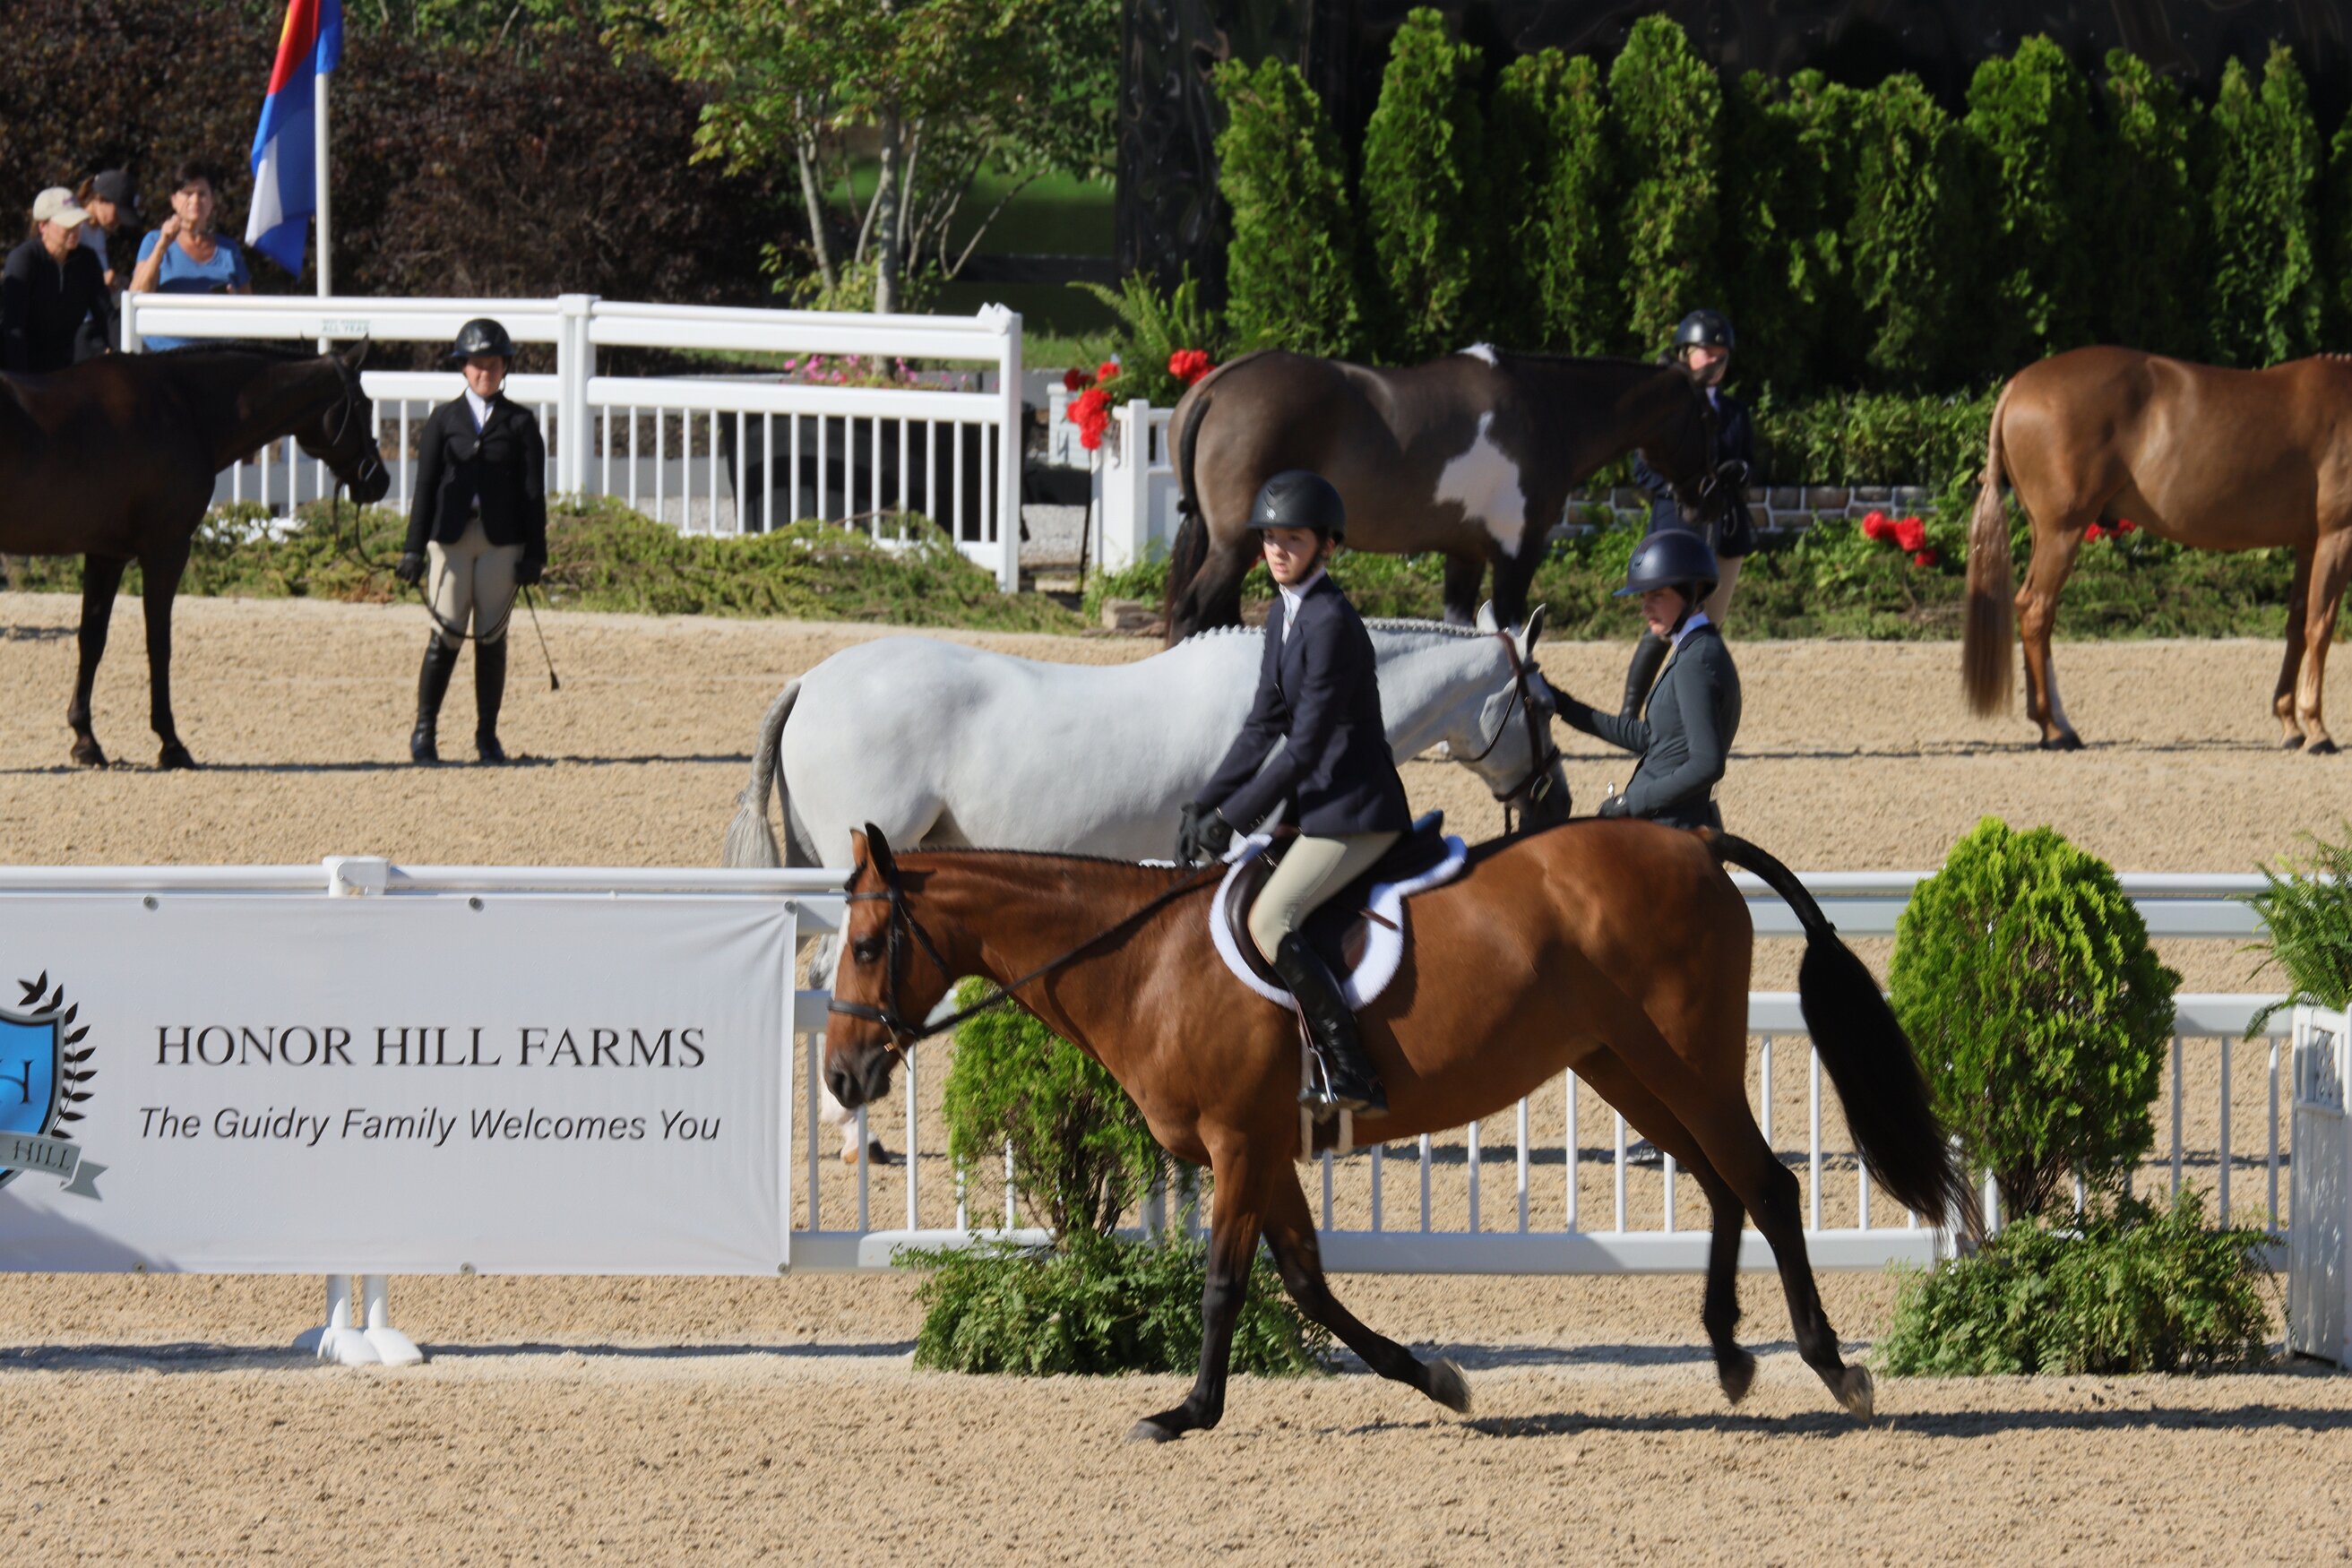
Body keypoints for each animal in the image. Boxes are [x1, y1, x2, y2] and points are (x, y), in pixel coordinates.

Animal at [0, 343, 392, 768]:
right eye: (364, 404)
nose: (381, 481)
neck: (184, 409)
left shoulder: (106, 555)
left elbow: (92, 641)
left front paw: (86, 741)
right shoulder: (167, 550)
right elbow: (159, 644)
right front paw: (171, 743)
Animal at [824, 821, 1972, 1442]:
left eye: (872, 944)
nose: (840, 1073)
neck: (1145, 962)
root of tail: (1688, 838)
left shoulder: (1241, 1143)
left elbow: (1226, 1285)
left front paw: (1186, 1409)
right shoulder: (1266, 1149)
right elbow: (1307, 1282)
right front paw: (1438, 1378)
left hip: (1680, 1055)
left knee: (1766, 1183)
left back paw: (1834, 1368)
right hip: (1622, 1064)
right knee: (1723, 1182)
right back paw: (1731, 1353)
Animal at [1159, 347, 1743, 643]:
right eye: (1709, 418)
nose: (1712, 500)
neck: (1545, 410)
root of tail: (1215, 387)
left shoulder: (1463, 554)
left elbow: (1460, 628)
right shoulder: (1517, 552)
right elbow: (1513, 629)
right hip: (1237, 546)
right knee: (1193, 611)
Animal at [1965, 345, 2352, 751]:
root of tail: (2019, 385)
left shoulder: (2308, 543)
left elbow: (2297, 627)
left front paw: (2291, 724)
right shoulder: (2338, 536)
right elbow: (2320, 627)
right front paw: (2317, 730)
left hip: (2046, 532)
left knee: (2038, 613)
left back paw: (2057, 726)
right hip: (2062, 531)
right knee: (2036, 609)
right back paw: (2055, 730)